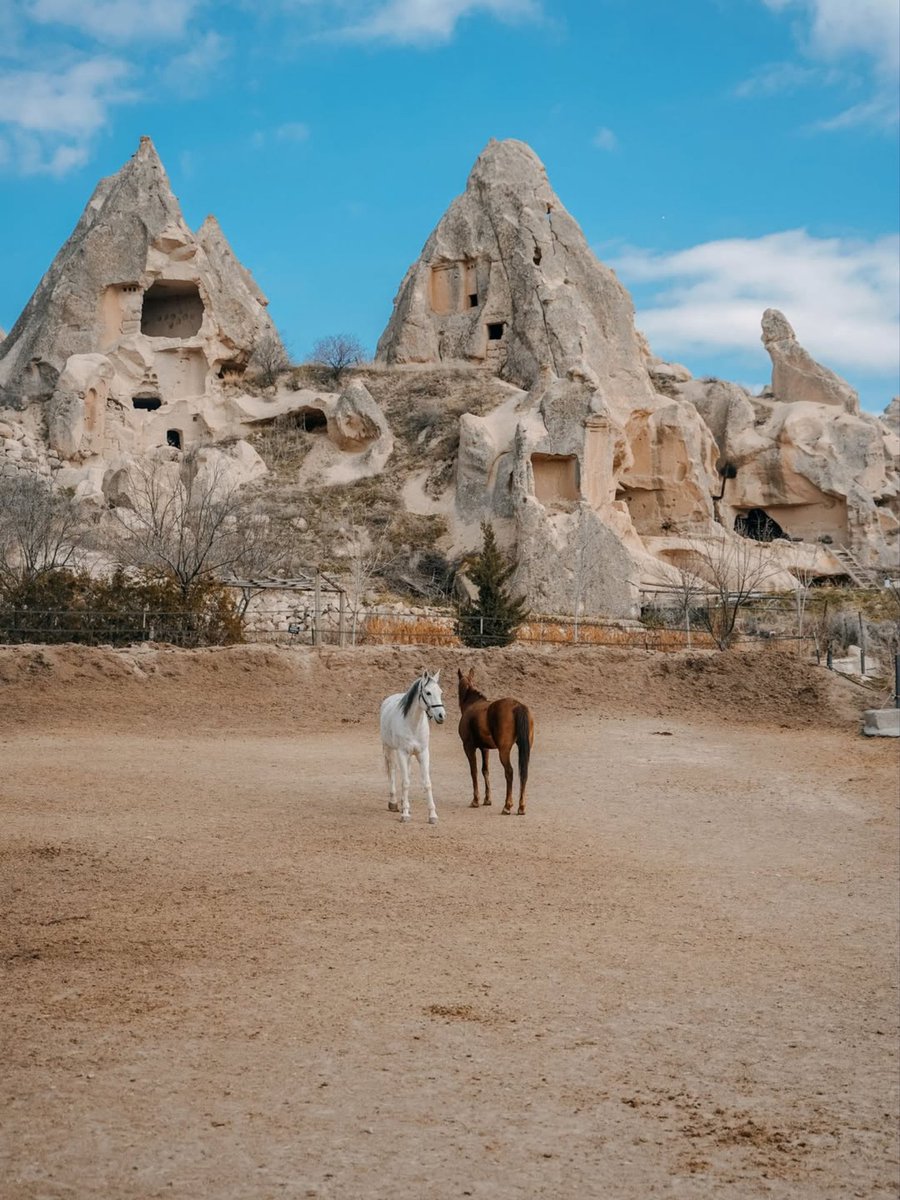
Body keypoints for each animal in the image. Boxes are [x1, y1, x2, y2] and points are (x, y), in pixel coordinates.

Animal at [380, 671, 446, 824]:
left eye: (440, 692)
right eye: (428, 692)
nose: (441, 715)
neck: (413, 725)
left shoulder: (423, 753)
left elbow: (427, 783)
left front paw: (432, 815)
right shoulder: (402, 753)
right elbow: (405, 783)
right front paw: (405, 814)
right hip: (389, 748)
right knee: (392, 771)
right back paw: (394, 803)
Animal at [457, 667, 534, 815]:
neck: (472, 704)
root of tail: (517, 705)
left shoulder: (468, 747)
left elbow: (474, 771)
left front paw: (475, 800)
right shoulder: (484, 748)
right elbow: (485, 770)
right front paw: (487, 799)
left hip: (503, 751)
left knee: (509, 772)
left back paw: (507, 806)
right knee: (524, 774)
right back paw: (521, 807)